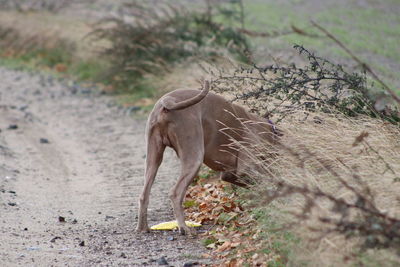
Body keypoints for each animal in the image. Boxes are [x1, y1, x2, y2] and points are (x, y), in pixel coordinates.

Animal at [136, 80, 280, 236]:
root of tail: (167, 101)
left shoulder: (230, 174)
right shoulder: (246, 168)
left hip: (153, 154)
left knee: (144, 194)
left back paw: (143, 228)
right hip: (194, 154)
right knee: (175, 193)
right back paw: (185, 228)